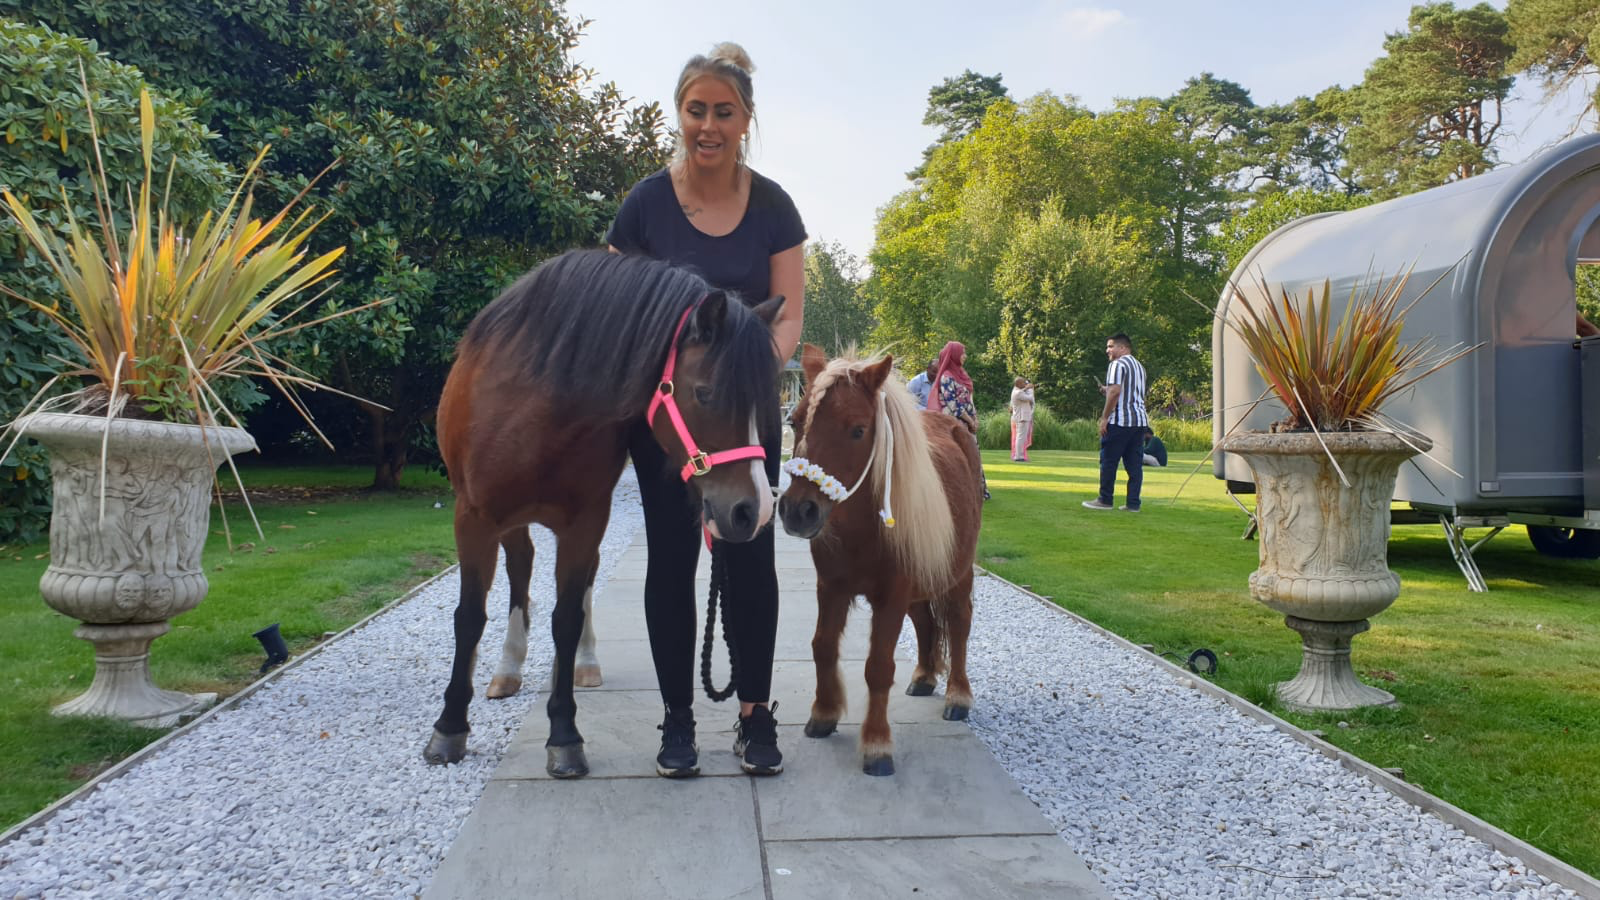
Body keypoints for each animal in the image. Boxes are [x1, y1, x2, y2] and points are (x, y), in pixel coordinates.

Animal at [424, 249, 783, 777]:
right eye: (706, 393)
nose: (752, 510)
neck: (533, 411)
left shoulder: (585, 523)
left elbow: (567, 618)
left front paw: (564, 733)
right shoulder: (474, 519)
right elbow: (469, 617)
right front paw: (450, 728)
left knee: (579, 588)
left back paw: (580, 665)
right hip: (508, 524)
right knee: (520, 568)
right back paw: (508, 668)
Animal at [777, 345, 983, 776]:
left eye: (857, 429)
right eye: (796, 420)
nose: (798, 511)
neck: (862, 528)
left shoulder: (891, 596)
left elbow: (878, 667)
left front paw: (876, 745)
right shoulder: (831, 588)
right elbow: (822, 646)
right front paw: (823, 714)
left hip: (958, 575)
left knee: (958, 624)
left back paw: (958, 695)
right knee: (925, 622)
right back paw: (923, 677)